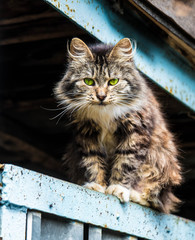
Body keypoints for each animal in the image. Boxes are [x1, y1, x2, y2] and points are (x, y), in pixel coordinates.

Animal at [54, 37, 182, 214]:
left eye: (113, 81)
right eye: (89, 81)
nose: (101, 96)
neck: (104, 113)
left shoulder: (135, 134)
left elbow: (125, 164)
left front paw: (117, 189)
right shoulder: (87, 136)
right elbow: (94, 163)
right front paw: (97, 186)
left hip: (162, 163)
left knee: (158, 200)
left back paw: (135, 194)